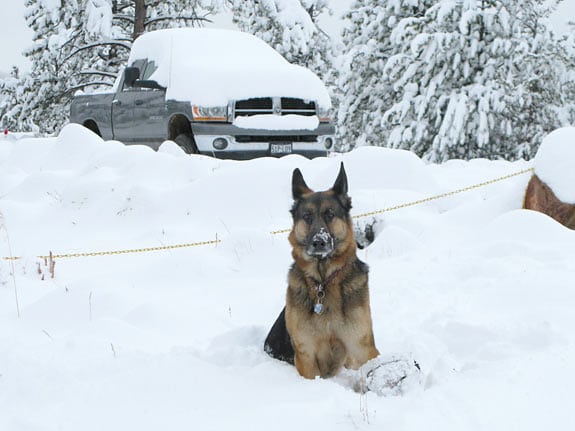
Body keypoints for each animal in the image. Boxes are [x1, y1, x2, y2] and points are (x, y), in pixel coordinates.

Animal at [264, 164, 380, 380]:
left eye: (330, 214)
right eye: (307, 216)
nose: (319, 242)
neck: (324, 281)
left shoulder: (361, 348)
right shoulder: (306, 356)